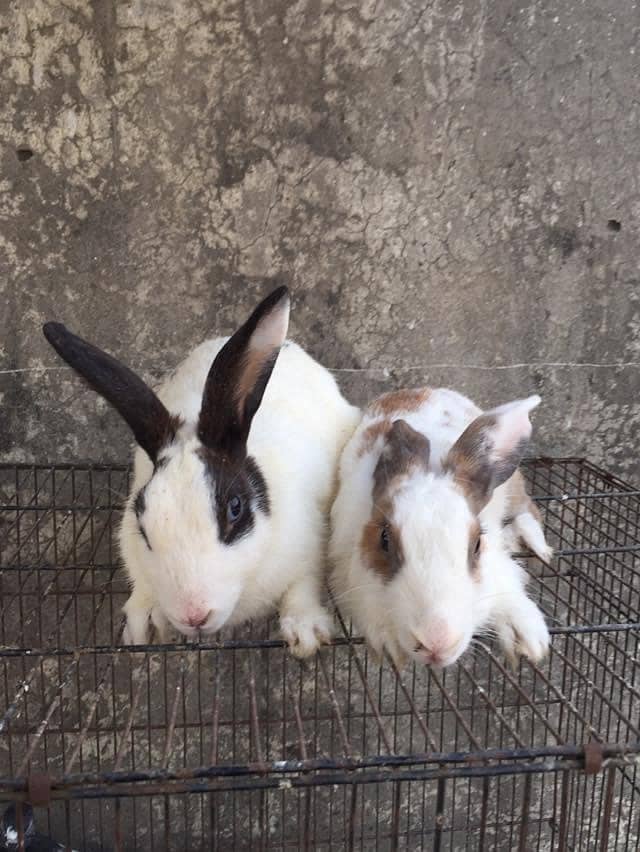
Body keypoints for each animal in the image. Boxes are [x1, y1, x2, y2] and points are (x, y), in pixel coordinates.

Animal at [43, 286, 361, 657]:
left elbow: (302, 586)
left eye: (235, 509)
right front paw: (144, 625)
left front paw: (305, 633)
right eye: (143, 525)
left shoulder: (309, 545)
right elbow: (141, 582)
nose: (193, 615)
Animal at [329, 386, 552, 670]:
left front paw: (528, 640)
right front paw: (390, 644)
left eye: (477, 544)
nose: (436, 642)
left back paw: (537, 545)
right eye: (384, 539)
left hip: (512, 484)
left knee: (526, 508)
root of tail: (418, 390)